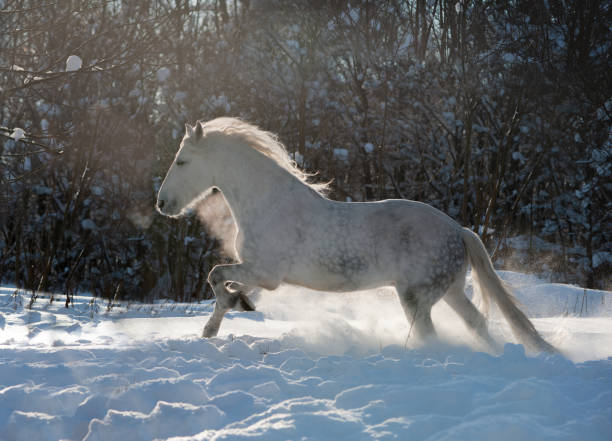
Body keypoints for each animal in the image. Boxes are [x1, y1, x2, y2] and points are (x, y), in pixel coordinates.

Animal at [155, 117, 556, 354]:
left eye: (182, 161)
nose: (162, 204)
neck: (268, 203)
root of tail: (458, 230)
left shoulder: (263, 272)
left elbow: (215, 276)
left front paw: (231, 310)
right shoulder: (258, 275)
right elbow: (224, 291)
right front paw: (212, 330)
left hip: (416, 298)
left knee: (432, 335)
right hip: (451, 292)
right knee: (477, 323)